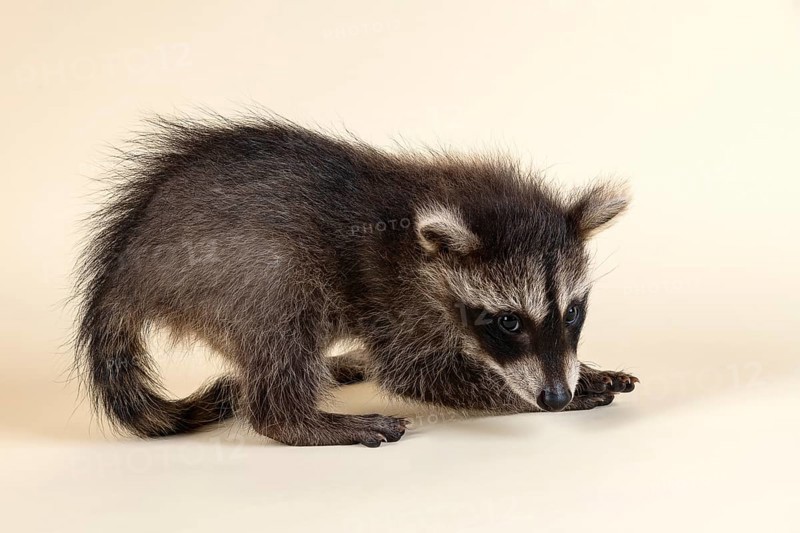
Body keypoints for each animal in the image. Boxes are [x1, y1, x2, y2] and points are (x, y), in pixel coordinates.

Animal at [75, 116, 638, 447]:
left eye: (571, 312)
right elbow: (415, 372)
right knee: (284, 315)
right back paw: (299, 420)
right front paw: (532, 394)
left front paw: (583, 372)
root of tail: (122, 271)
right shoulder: (393, 292)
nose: (555, 398)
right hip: (231, 267)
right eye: (508, 322)